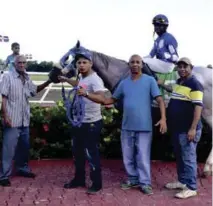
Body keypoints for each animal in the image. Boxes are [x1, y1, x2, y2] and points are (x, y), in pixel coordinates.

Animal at [59, 40, 212, 177]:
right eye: (70, 57)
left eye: (76, 58)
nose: (62, 72)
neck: (123, 74)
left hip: (208, 112)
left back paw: (207, 168)